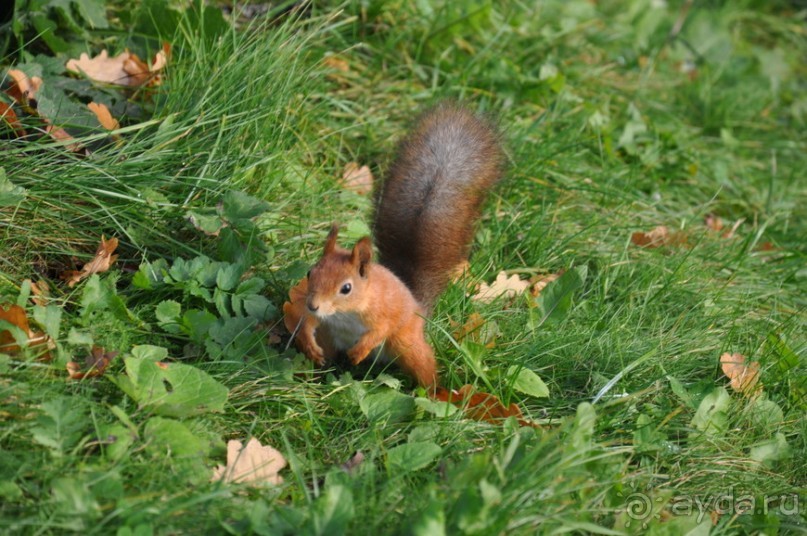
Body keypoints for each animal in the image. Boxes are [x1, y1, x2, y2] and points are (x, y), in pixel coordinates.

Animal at [280, 103, 502, 390]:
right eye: (310, 273)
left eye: (346, 288)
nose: (314, 305)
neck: (346, 310)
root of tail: (419, 308)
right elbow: (307, 322)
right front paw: (308, 340)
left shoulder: (384, 311)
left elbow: (381, 329)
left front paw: (360, 350)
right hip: (329, 338)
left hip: (408, 345)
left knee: (424, 368)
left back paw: (435, 393)